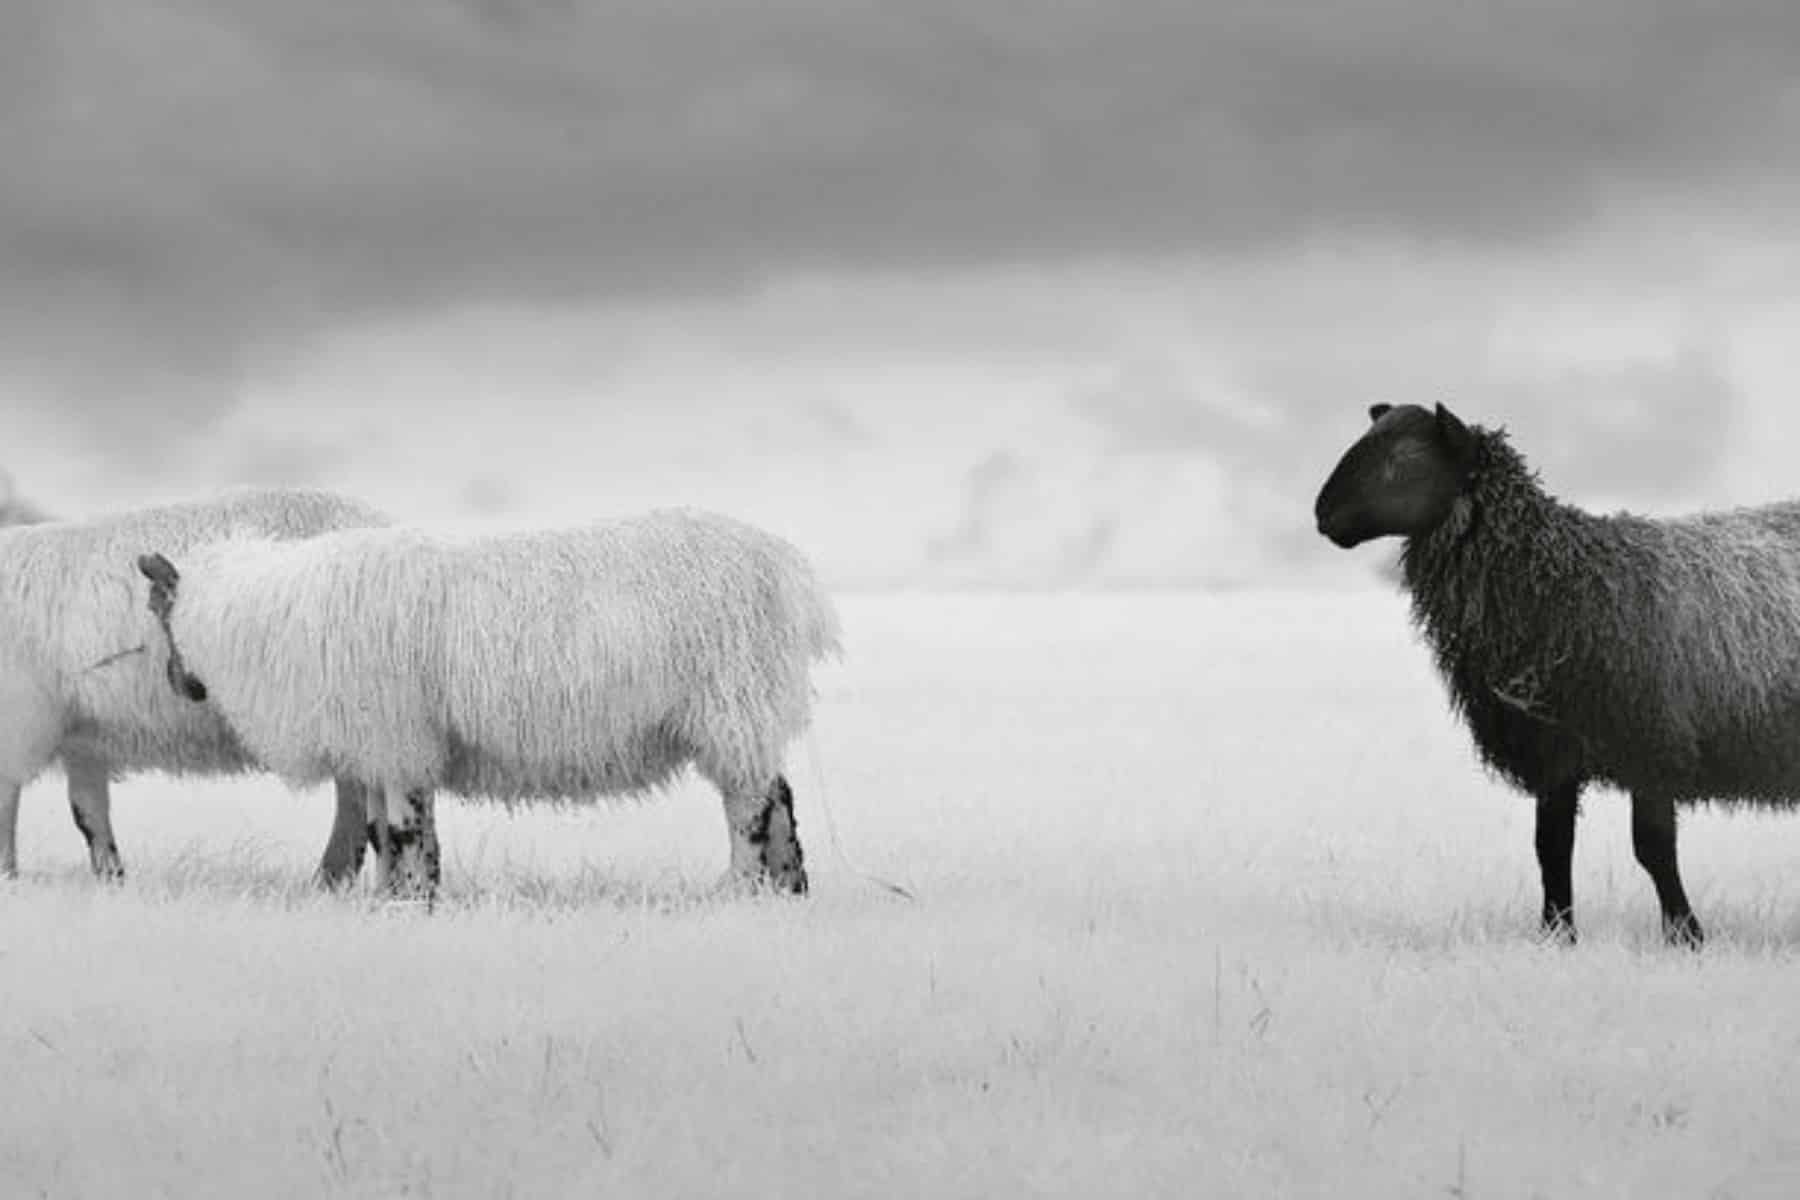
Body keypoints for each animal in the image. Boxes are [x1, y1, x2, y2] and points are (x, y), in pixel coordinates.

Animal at [0, 487, 389, 885]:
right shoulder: (81, 738)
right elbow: (89, 813)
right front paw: (112, 879)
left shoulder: (21, 726)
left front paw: (7, 874)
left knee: (356, 799)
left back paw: (332, 876)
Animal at [134, 508, 842, 901]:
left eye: (159, 606)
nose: (180, 685)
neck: (262, 615)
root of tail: (791, 571)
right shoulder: (383, 746)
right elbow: (385, 833)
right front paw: (393, 899)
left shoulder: (399, 738)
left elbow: (403, 830)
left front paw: (413, 901)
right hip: (744, 712)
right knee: (779, 796)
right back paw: (789, 890)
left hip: (733, 703)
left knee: (751, 809)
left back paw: (742, 890)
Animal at [1313, 401, 1800, 948]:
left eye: (1404, 456)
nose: (1321, 513)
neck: (1561, 581)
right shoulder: (1553, 748)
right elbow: (1550, 847)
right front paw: (1557, 935)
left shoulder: (1651, 740)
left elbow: (1652, 848)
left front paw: (1685, 935)